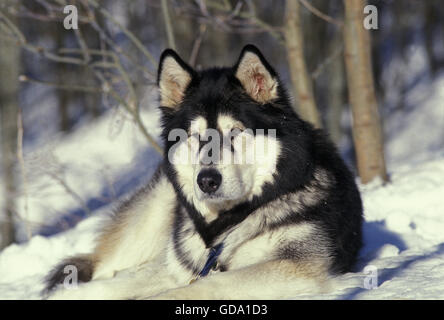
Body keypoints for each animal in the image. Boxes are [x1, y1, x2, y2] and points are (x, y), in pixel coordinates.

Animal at [44, 43, 364, 298]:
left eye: (234, 131)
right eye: (197, 136)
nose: (207, 180)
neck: (228, 222)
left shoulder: (296, 266)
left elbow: (206, 284)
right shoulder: (178, 264)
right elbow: (119, 284)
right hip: (149, 220)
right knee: (106, 268)